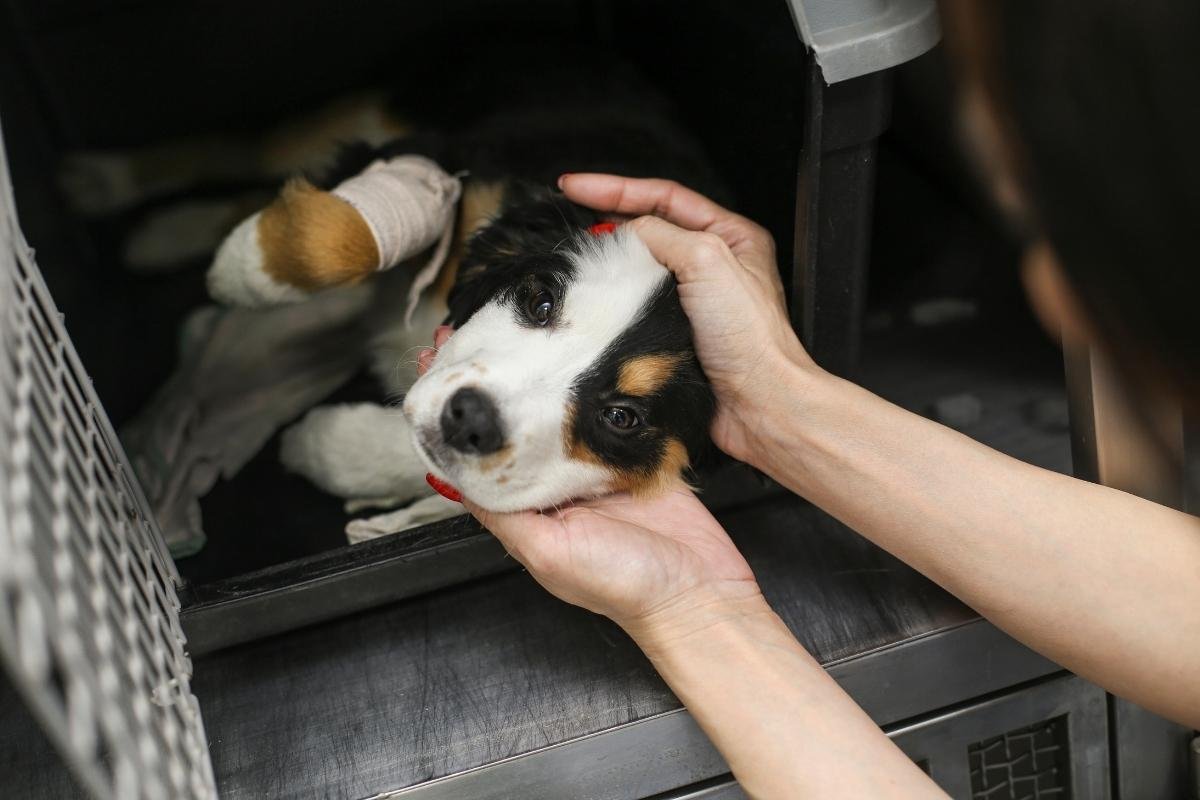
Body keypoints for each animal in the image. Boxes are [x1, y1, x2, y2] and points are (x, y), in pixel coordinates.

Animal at [206, 53, 720, 542]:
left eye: (621, 417)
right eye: (541, 304)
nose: (469, 418)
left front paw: (321, 444)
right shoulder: (453, 168)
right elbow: (343, 232)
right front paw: (239, 269)